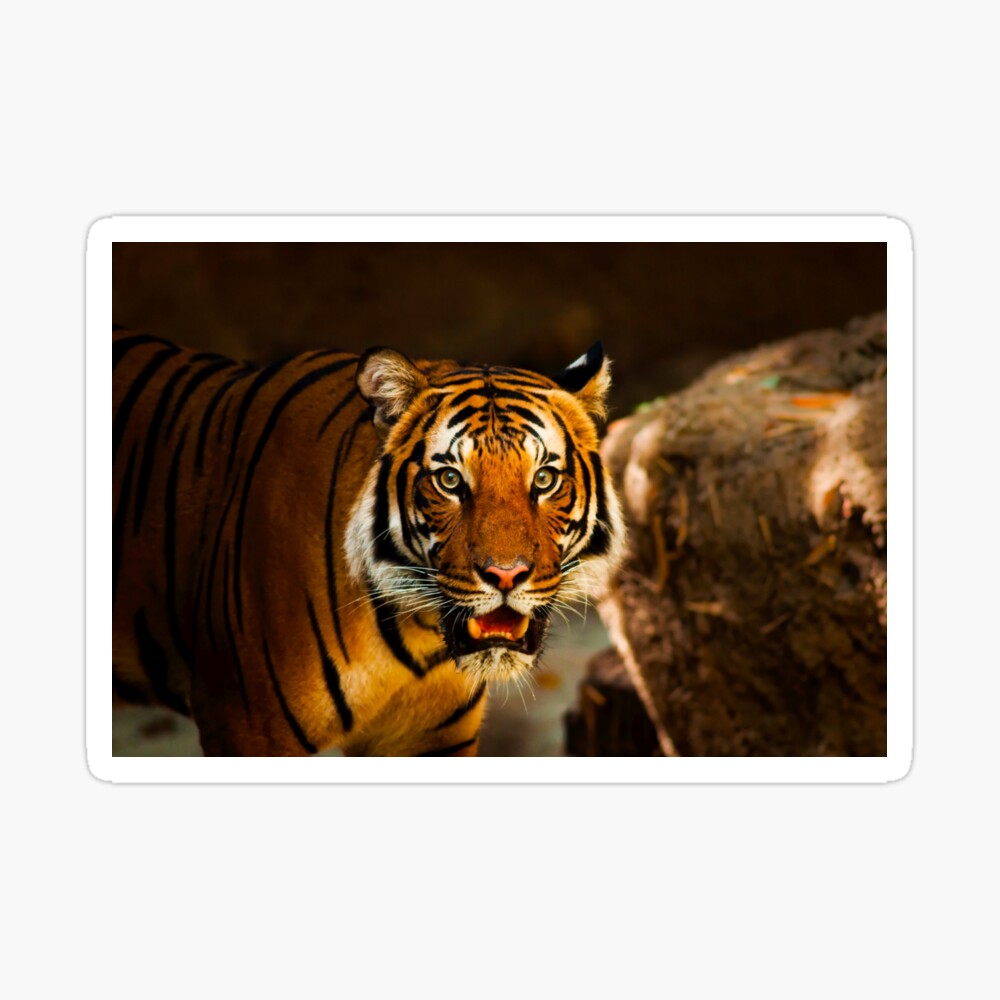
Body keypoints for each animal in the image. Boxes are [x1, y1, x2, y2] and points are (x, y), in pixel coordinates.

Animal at [112, 325, 625, 756]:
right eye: (450, 480)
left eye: (543, 479)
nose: (505, 575)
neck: (417, 636)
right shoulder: (248, 724)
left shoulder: (433, 740)